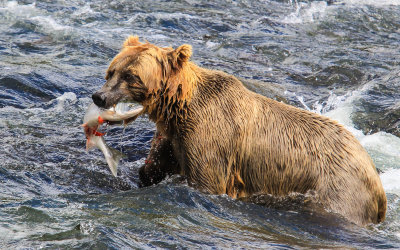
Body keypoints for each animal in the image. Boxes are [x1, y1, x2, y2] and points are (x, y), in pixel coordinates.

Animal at [91, 35, 388, 227]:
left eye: (131, 75)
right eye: (111, 71)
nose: (99, 96)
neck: (177, 108)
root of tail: (377, 180)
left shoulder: (209, 138)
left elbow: (206, 181)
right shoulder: (174, 138)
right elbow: (153, 169)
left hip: (338, 189)